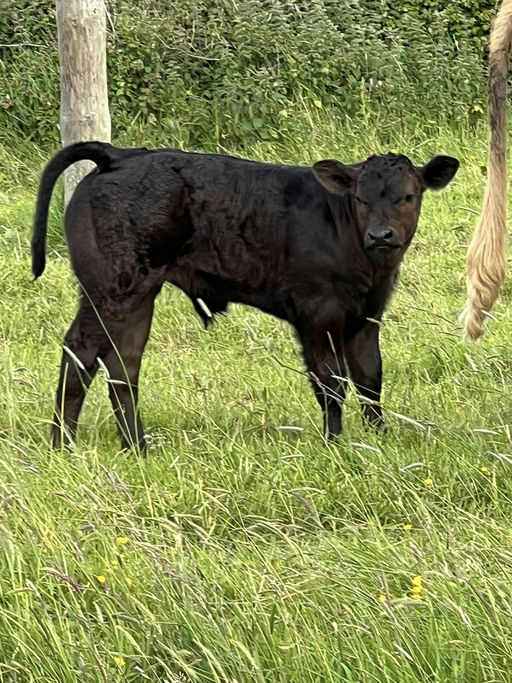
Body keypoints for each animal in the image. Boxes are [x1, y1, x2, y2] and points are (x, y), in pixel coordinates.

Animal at [31, 142, 459, 451]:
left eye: (409, 196)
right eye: (360, 199)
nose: (381, 235)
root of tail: (121, 154)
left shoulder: (367, 315)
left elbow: (370, 377)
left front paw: (378, 438)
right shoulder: (317, 311)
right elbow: (330, 380)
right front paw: (334, 444)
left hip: (139, 295)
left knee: (123, 365)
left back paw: (137, 447)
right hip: (110, 289)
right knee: (81, 353)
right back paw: (63, 446)